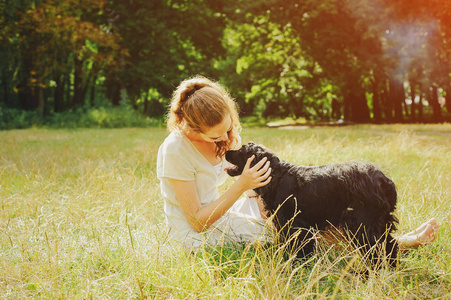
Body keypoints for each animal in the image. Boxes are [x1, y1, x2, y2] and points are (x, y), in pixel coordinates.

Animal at [226, 142, 400, 268]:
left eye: (241, 150)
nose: (226, 151)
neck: (277, 175)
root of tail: (384, 180)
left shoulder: (296, 226)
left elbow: (300, 249)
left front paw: (297, 266)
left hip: (363, 224)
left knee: (375, 250)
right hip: (378, 224)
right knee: (390, 244)